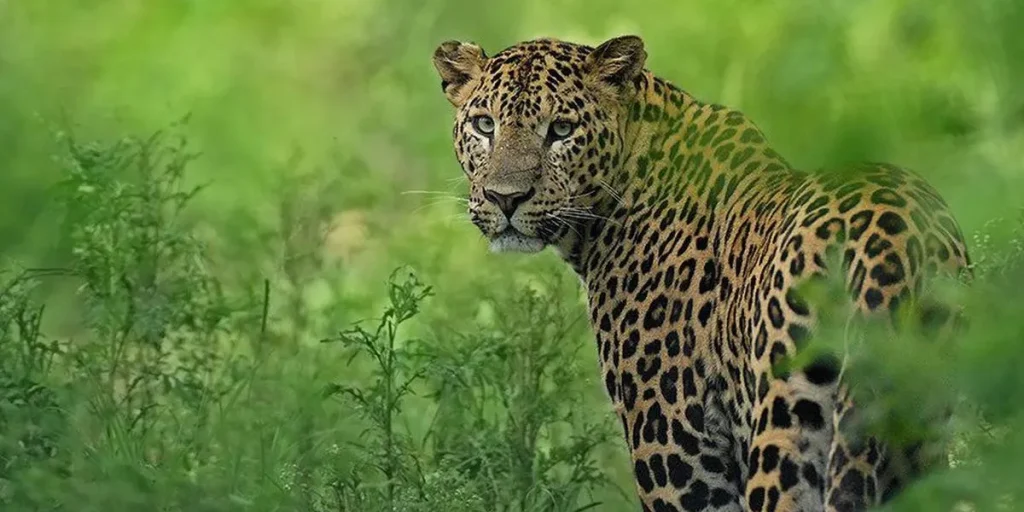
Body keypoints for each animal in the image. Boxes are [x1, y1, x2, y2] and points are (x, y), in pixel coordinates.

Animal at [431, 35, 970, 512]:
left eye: (561, 131)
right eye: (484, 125)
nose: (505, 198)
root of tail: (893, 237)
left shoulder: (676, 453)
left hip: (786, 430)